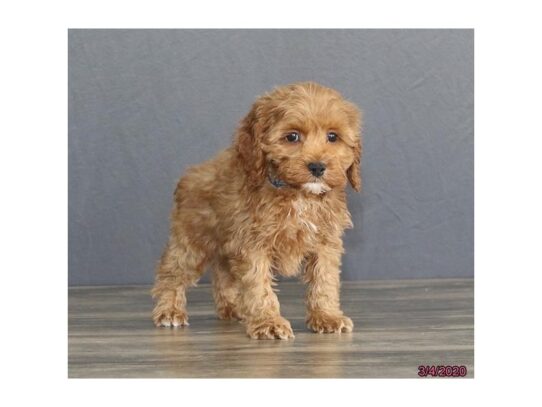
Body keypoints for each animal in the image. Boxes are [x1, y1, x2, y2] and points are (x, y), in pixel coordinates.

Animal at [151, 81, 364, 340]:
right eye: (292, 136)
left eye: (333, 136)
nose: (317, 167)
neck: (298, 195)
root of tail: (190, 174)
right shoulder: (253, 244)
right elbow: (258, 284)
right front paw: (268, 322)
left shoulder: (325, 243)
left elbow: (325, 281)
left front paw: (327, 317)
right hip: (192, 241)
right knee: (172, 272)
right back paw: (169, 310)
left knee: (223, 274)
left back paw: (233, 307)